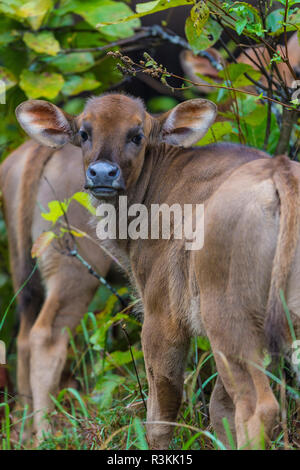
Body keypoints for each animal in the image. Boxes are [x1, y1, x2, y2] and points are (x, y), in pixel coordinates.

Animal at [0, 141, 111, 442]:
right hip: (74, 271)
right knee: (45, 337)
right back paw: (47, 435)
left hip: (25, 272)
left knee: (24, 340)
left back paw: (23, 433)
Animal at [15, 93, 300, 450]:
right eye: (84, 132)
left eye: (137, 135)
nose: (102, 173)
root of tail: (280, 170)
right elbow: (219, 411)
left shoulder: (161, 318)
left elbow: (161, 413)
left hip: (229, 320)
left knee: (256, 407)